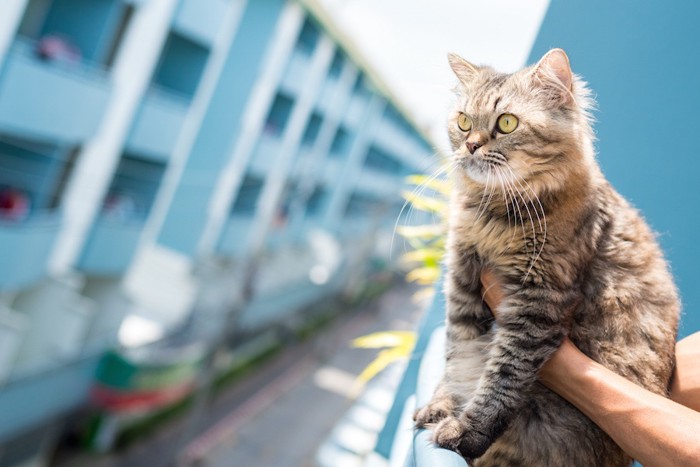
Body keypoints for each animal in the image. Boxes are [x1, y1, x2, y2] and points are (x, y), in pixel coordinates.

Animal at [412, 49, 680, 466]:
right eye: (463, 121)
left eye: (506, 123)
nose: (470, 146)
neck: (494, 212)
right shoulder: (463, 284)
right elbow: (458, 357)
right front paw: (441, 407)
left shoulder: (538, 299)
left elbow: (502, 377)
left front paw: (465, 434)